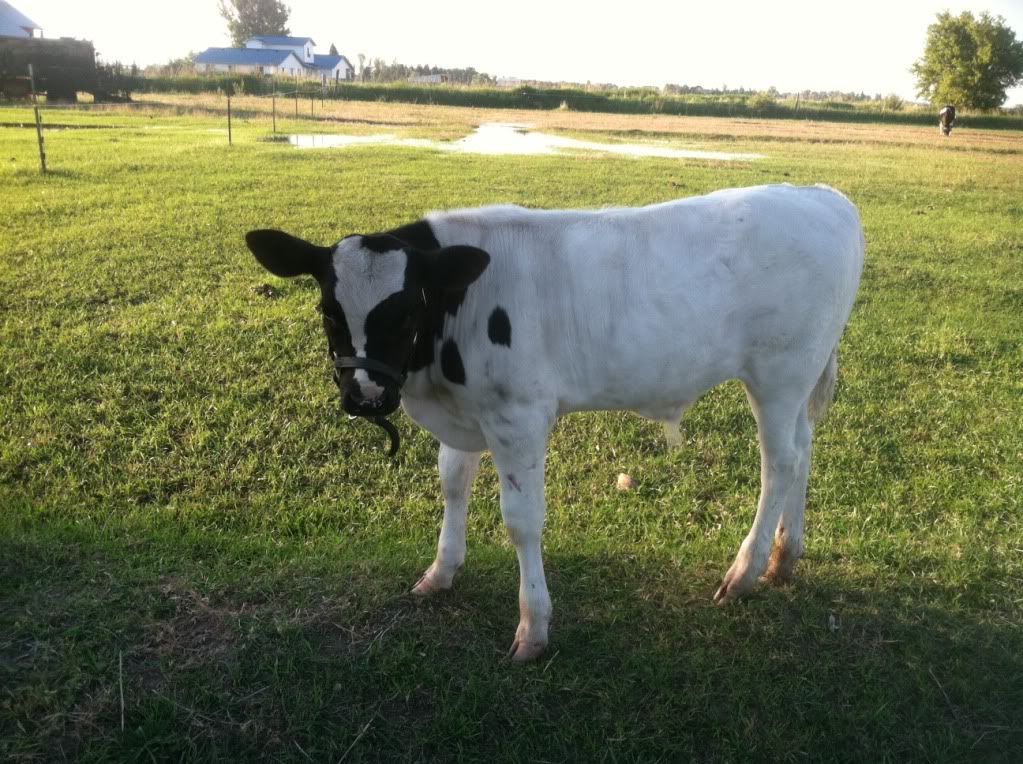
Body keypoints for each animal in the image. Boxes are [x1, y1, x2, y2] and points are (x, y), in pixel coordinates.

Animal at [246, 183, 865, 661]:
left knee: (780, 462)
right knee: (804, 448)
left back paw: (746, 570)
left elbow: (521, 522)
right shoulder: (467, 409)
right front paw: (441, 572)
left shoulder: (518, 415)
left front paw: (533, 627)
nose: (366, 396)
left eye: (406, 310)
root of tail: (820, 196)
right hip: (799, 380)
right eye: (329, 310)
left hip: (780, 373)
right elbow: (452, 484)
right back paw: (785, 556)